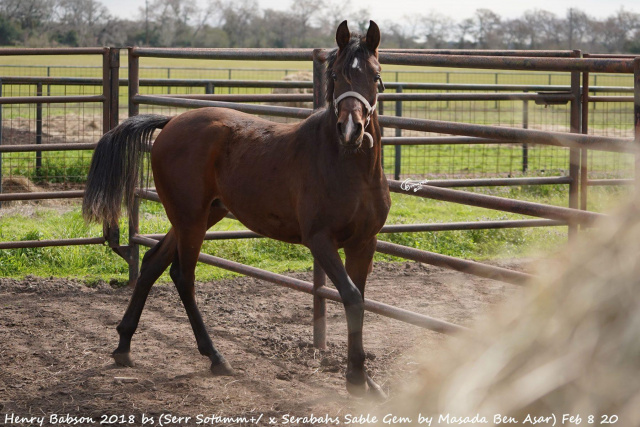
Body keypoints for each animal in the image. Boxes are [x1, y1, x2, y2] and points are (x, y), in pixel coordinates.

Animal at [80, 20, 390, 402]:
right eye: (335, 75)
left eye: (375, 76)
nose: (350, 130)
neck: (347, 165)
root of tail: (171, 122)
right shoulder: (321, 241)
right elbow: (351, 297)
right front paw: (356, 380)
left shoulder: (364, 243)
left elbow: (359, 300)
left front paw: (366, 380)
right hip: (191, 220)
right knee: (182, 275)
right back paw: (215, 357)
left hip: (199, 215)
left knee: (153, 263)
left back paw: (124, 345)